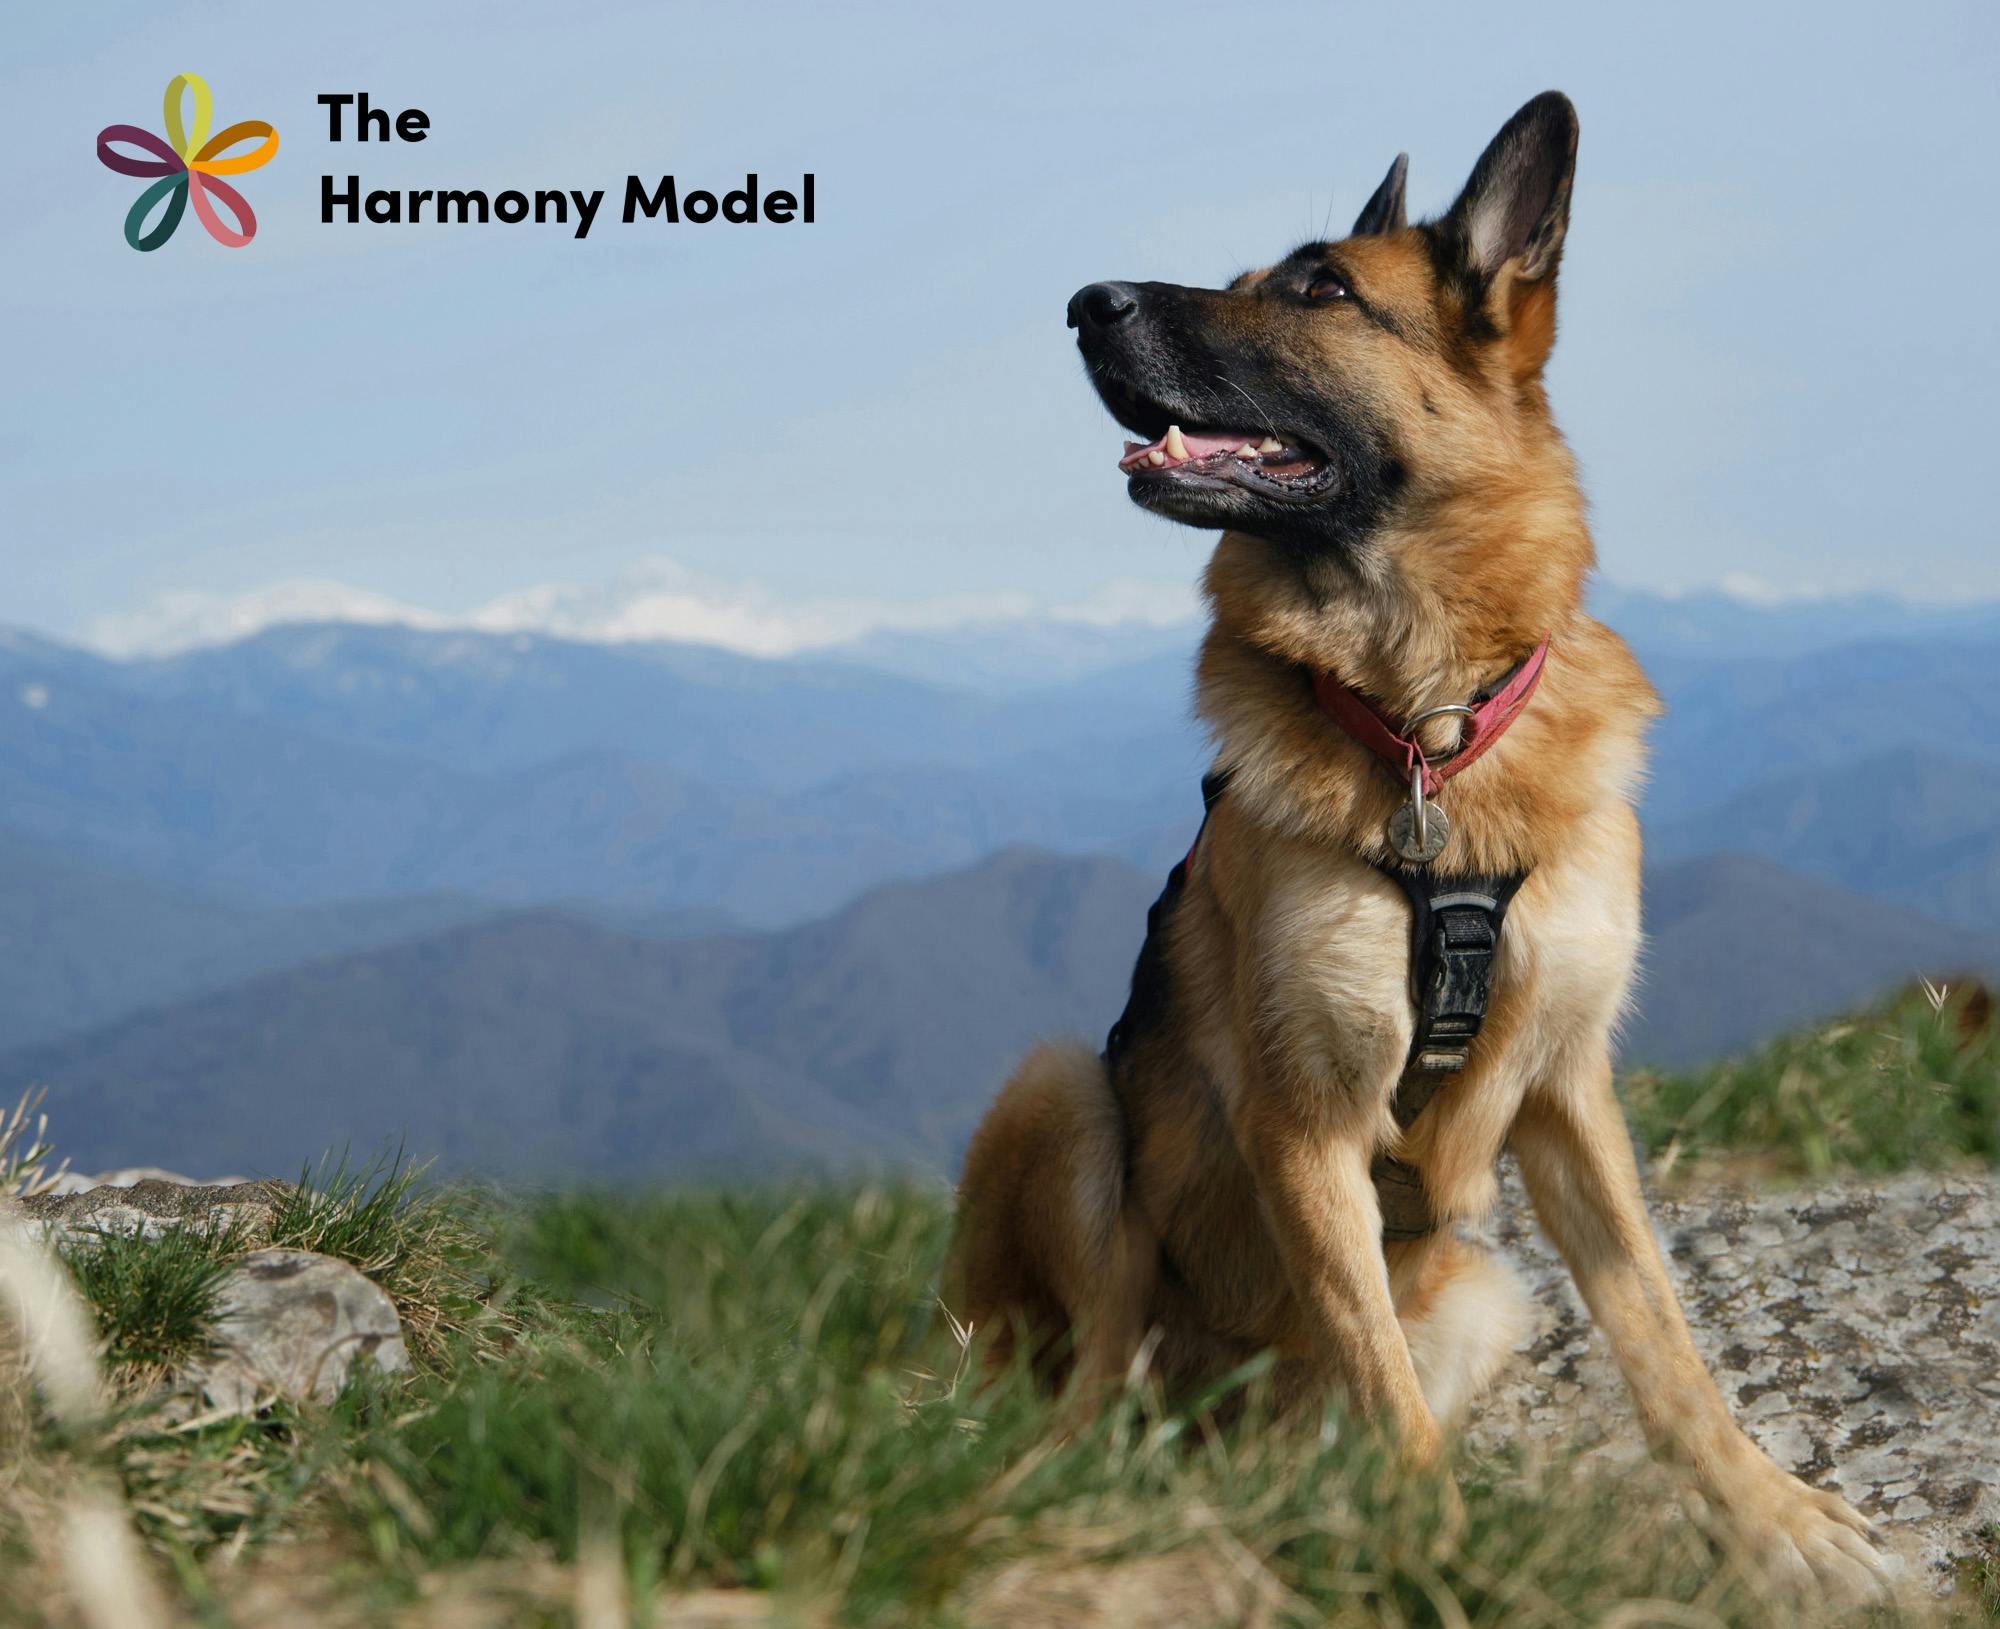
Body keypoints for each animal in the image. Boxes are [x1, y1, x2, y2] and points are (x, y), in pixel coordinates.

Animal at [952, 86, 1888, 1592]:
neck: (1427, 726)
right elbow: (1377, 1368)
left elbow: (1659, 1333)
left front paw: (1773, 1517)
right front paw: (1448, 1558)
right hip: (1064, 1096)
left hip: (1484, 1290)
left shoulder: (1570, 1097)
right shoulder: (1306, 1128)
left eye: (1318, 288)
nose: (1083, 303)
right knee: (1093, 1385)